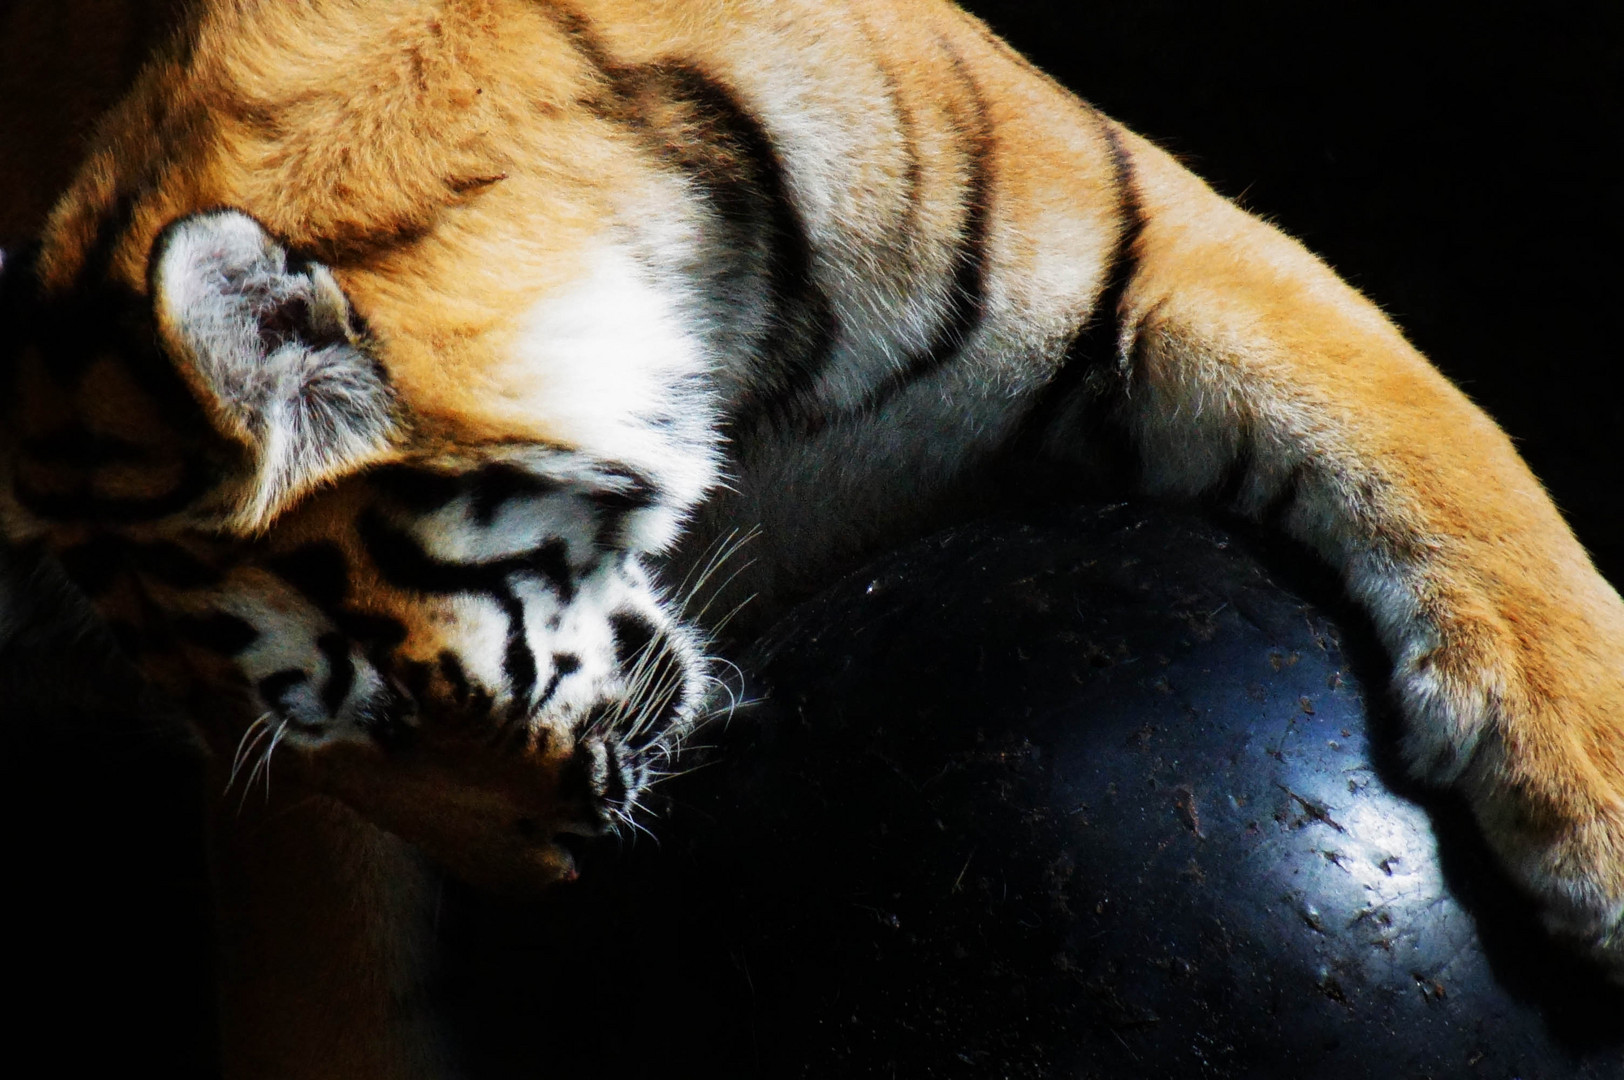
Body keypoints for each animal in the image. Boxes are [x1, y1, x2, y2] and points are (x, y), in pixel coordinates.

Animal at [0, 0, 1617, 1071]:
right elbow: (333, 996)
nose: (540, 899)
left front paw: (1595, 828)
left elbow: (1451, 463)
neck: (741, 386)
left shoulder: (1158, 249)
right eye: (326, 742)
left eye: (385, 709)